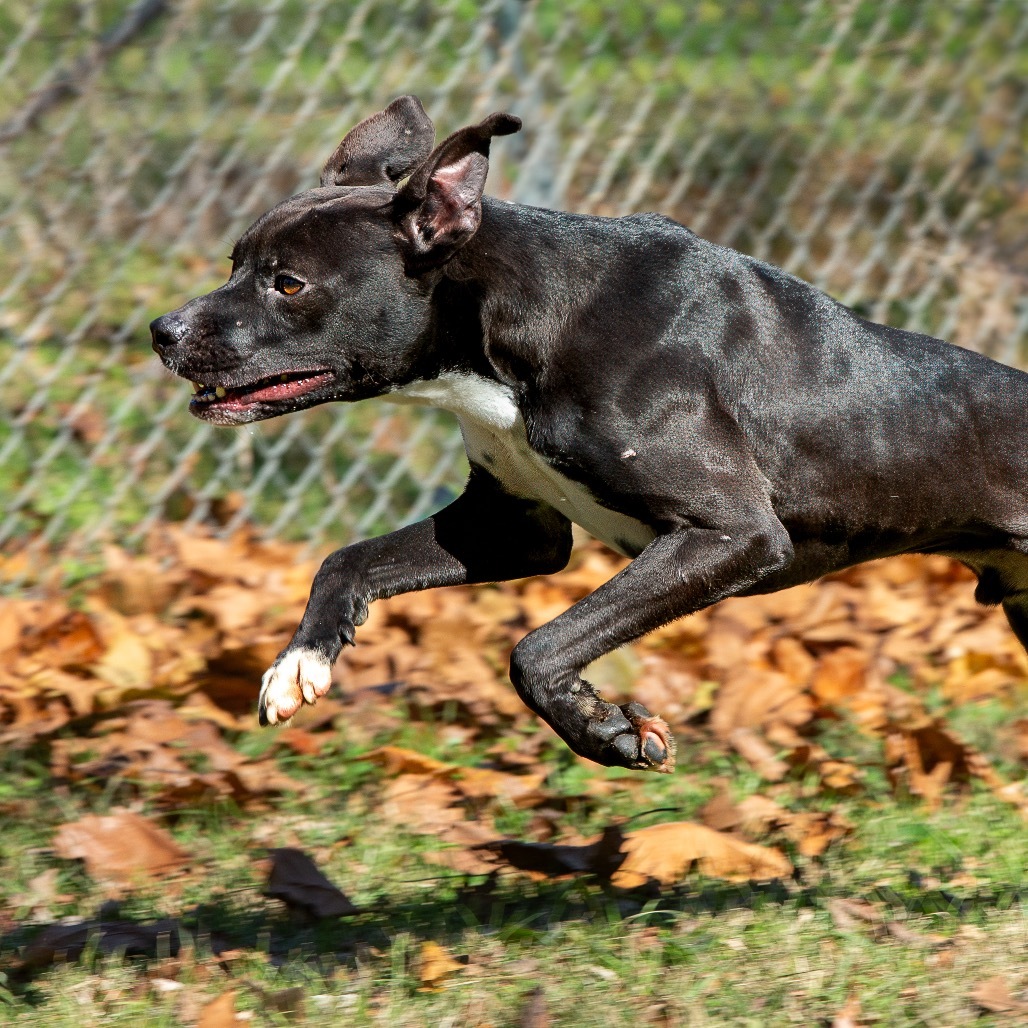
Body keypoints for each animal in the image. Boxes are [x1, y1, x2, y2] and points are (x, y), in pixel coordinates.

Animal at [152, 96, 1028, 773]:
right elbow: (347, 560)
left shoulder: (730, 534)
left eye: (288, 283)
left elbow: (537, 649)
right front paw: (298, 663)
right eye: (234, 262)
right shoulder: (511, 527)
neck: (514, 324)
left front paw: (604, 730)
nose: (162, 331)